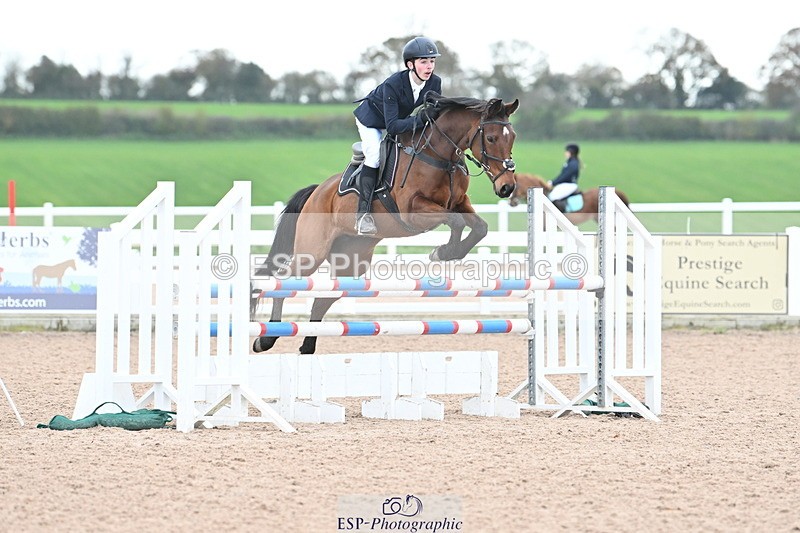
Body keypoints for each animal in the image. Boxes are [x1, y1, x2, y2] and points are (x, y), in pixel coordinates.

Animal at [252, 94, 520, 355]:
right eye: (491, 138)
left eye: (512, 137)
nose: (507, 187)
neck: (439, 156)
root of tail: (317, 191)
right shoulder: (413, 210)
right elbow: (455, 221)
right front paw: (442, 252)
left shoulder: (459, 202)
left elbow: (479, 227)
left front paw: (448, 252)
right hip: (311, 252)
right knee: (284, 280)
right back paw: (266, 339)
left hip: (352, 261)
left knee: (322, 300)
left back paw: (307, 347)